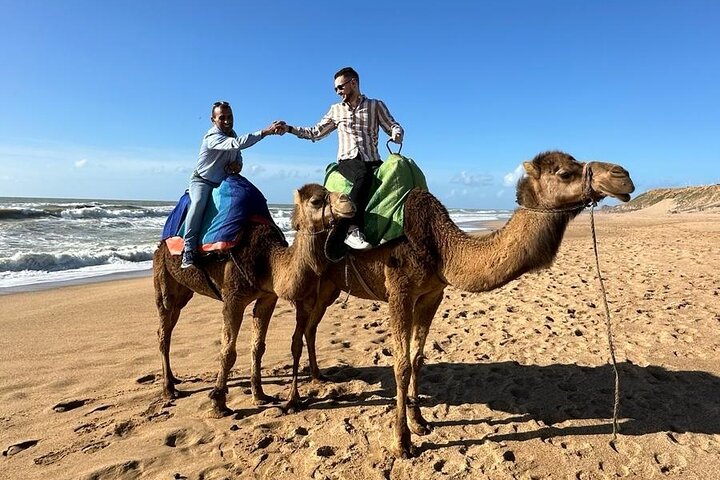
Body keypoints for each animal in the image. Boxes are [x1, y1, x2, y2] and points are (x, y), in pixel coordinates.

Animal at [153, 183, 354, 417]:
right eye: (316, 201)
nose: (349, 201)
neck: (268, 261)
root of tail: (161, 244)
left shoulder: (268, 297)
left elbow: (258, 346)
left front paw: (259, 395)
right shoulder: (233, 299)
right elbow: (228, 351)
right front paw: (218, 403)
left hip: (183, 293)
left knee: (168, 326)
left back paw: (174, 380)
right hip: (163, 279)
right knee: (164, 328)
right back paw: (169, 389)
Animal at [283, 151, 634, 457]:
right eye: (564, 173)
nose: (623, 175)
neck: (441, 247)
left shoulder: (431, 295)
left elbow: (418, 359)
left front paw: (420, 422)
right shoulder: (399, 292)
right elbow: (401, 365)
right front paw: (402, 442)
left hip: (329, 288)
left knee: (311, 329)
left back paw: (318, 377)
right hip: (310, 282)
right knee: (298, 334)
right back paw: (292, 401)